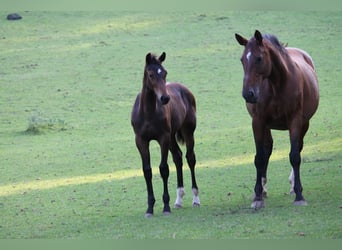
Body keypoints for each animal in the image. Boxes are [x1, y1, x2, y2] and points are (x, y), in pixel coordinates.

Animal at [131, 51, 200, 217]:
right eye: (150, 74)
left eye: (164, 73)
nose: (165, 98)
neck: (148, 113)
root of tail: (184, 89)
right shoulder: (141, 141)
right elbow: (147, 170)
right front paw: (149, 208)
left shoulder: (162, 139)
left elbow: (163, 169)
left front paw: (166, 207)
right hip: (171, 138)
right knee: (178, 157)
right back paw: (179, 200)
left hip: (187, 132)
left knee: (190, 158)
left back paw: (195, 198)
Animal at [235, 29, 318, 209]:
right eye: (242, 59)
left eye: (259, 58)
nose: (248, 94)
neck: (277, 85)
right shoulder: (258, 121)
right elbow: (259, 157)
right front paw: (257, 197)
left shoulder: (295, 120)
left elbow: (295, 156)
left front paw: (299, 195)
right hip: (266, 126)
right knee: (267, 150)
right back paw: (263, 189)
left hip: (304, 124)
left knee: (298, 147)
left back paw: (293, 186)